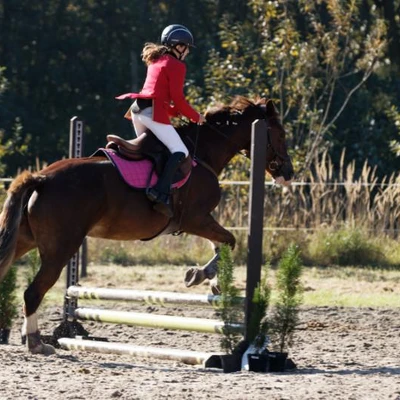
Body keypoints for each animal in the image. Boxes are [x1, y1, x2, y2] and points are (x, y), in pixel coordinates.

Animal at [0, 96, 294, 354]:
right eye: (280, 135)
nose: (288, 174)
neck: (204, 152)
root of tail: (41, 178)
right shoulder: (195, 218)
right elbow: (230, 240)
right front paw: (202, 276)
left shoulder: (200, 220)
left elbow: (220, 242)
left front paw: (209, 279)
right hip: (60, 249)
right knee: (33, 292)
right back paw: (36, 343)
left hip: (25, 240)